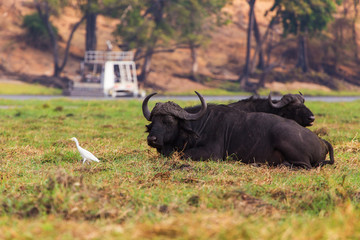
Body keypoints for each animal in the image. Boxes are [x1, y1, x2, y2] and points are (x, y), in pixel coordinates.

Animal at [142, 91, 334, 168]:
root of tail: (321, 141)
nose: (152, 140)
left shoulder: (212, 154)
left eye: (168, 121)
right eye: (154, 121)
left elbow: (182, 155)